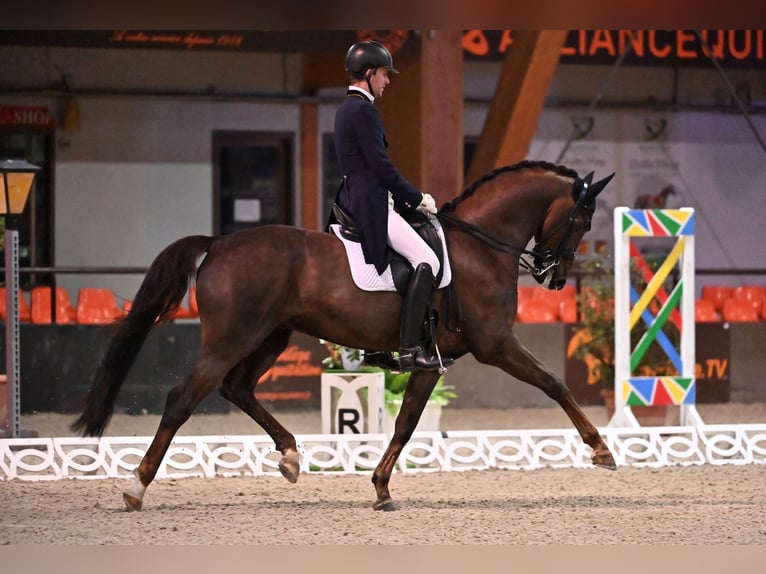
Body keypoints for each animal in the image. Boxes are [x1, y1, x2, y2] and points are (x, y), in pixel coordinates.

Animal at [73, 159, 616, 512]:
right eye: (585, 219)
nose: (554, 278)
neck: (479, 246)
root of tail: (220, 243)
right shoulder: (496, 345)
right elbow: (554, 383)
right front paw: (601, 449)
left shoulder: (434, 360)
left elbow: (406, 423)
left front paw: (381, 488)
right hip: (231, 339)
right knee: (182, 399)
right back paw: (137, 487)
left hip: (272, 335)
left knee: (238, 388)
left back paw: (291, 456)